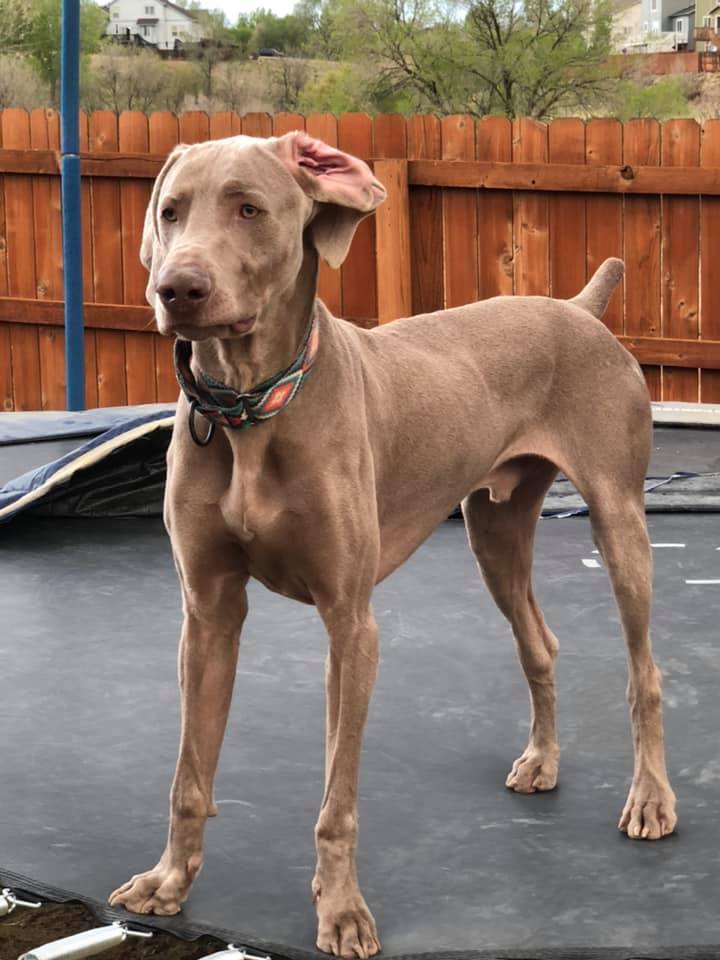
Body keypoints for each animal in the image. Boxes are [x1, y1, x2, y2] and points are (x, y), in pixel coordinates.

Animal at [109, 131, 676, 956]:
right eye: (171, 211)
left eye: (249, 209)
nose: (176, 290)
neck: (255, 408)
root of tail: (577, 309)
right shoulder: (207, 615)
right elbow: (189, 774)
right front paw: (169, 880)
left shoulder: (351, 623)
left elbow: (336, 800)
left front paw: (341, 909)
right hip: (495, 533)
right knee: (540, 644)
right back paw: (542, 760)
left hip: (620, 518)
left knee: (645, 674)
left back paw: (652, 799)